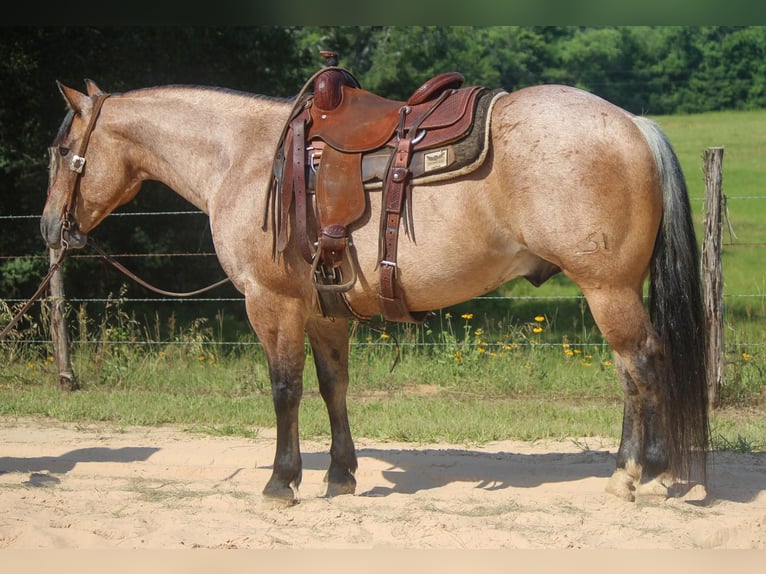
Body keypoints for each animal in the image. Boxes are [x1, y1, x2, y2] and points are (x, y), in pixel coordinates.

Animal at [40, 68, 708, 508]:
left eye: (64, 149)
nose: (49, 227)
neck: (245, 160)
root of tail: (633, 124)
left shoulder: (270, 302)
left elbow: (285, 390)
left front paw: (281, 482)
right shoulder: (324, 308)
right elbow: (333, 388)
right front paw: (340, 475)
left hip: (607, 289)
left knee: (642, 365)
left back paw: (641, 475)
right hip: (614, 290)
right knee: (632, 372)